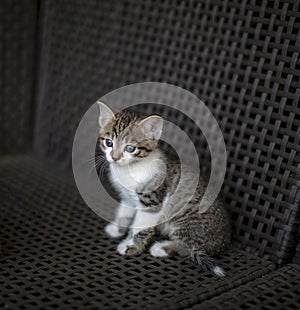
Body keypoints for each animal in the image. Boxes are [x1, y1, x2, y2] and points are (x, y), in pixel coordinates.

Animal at [97, 101, 231, 276]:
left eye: (130, 148)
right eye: (109, 143)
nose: (115, 157)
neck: (129, 169)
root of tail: (222, 243)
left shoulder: (152, 202)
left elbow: (141, 227)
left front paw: (131, 246)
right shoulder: (128, 197)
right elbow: (124, 212)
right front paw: (117, 228)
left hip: (186, 219)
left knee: (188, 247)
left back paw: (162, 248)